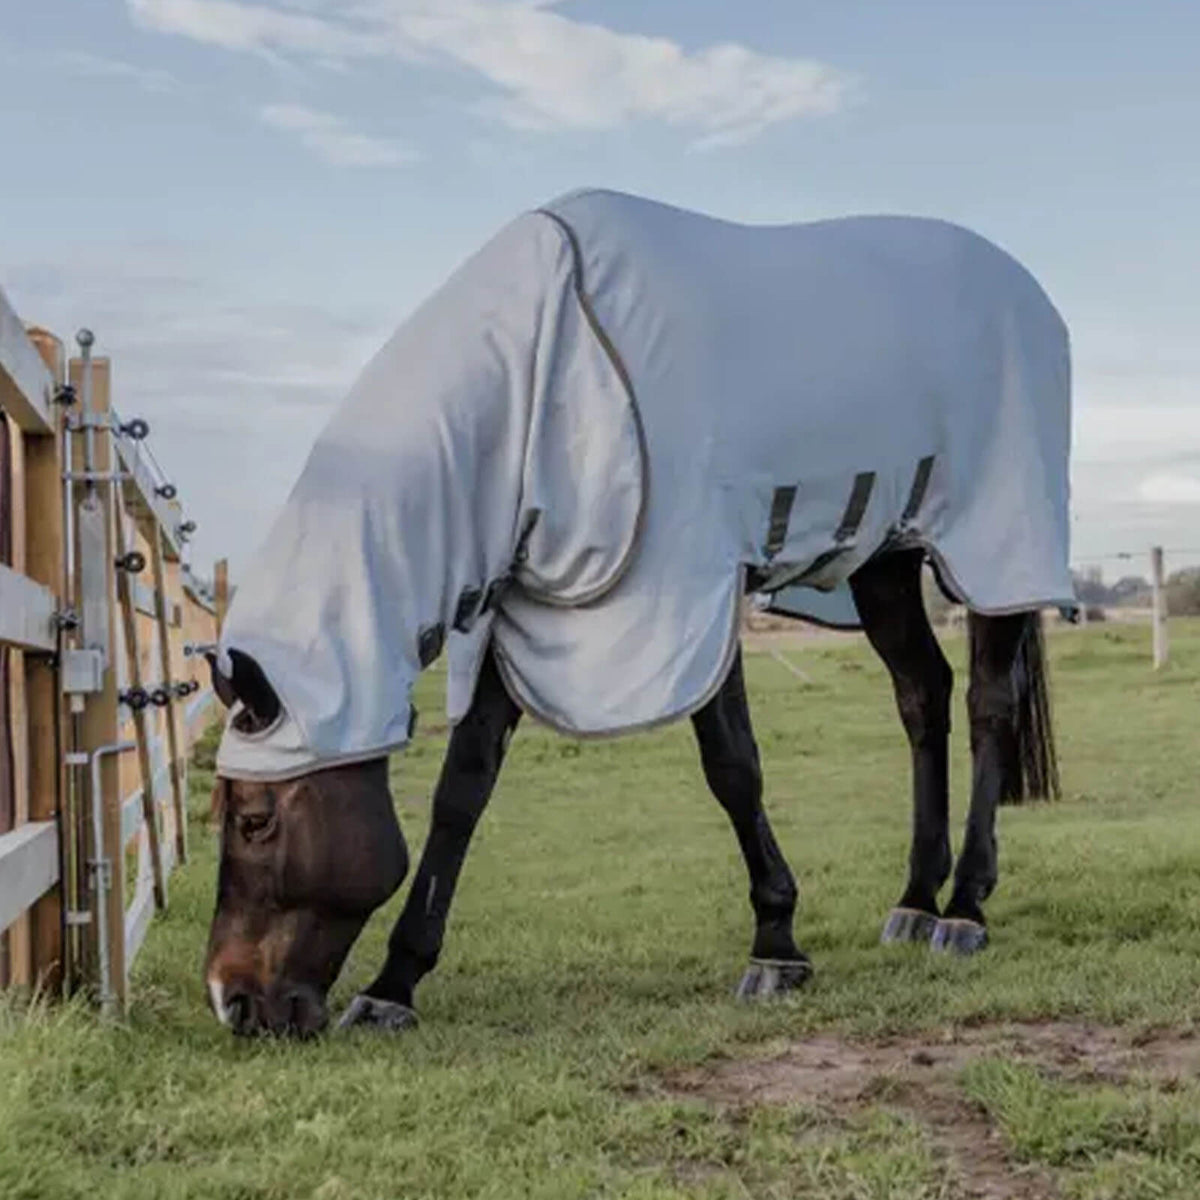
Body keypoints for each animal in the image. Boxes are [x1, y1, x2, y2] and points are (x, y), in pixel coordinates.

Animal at [204, 189, 1071, 1037]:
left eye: (255, 820)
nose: (233, 1001)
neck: (545, 371)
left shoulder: (691, 595)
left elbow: (733, 768)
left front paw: (776, 947)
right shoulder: (525, 606)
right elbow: (462, 792)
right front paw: (394, 985)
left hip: (994, 548)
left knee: (988, 704)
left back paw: (964, 909)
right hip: (886, 559)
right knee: (922, 695)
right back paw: (916, 902)